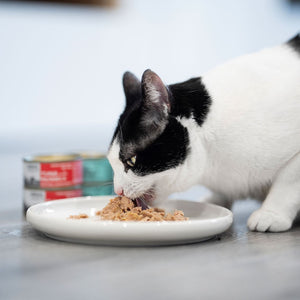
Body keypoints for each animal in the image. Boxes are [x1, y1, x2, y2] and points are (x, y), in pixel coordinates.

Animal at [108, 34, 300, 232]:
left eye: (132, 160)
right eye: (111, 161)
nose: (118, 190)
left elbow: (288, 181)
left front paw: (271, 213)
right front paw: (216, 199)